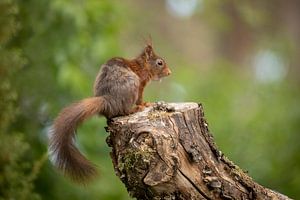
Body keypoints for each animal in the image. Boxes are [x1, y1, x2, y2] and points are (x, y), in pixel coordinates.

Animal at [48, 43, 171, 183]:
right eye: (159, 63)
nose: (169, 72)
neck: (141, 65)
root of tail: (108, 100)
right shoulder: (141, 83)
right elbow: (140, 98)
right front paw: (145, 104)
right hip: (132, 84)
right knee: (123, 110)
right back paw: (134, 109)